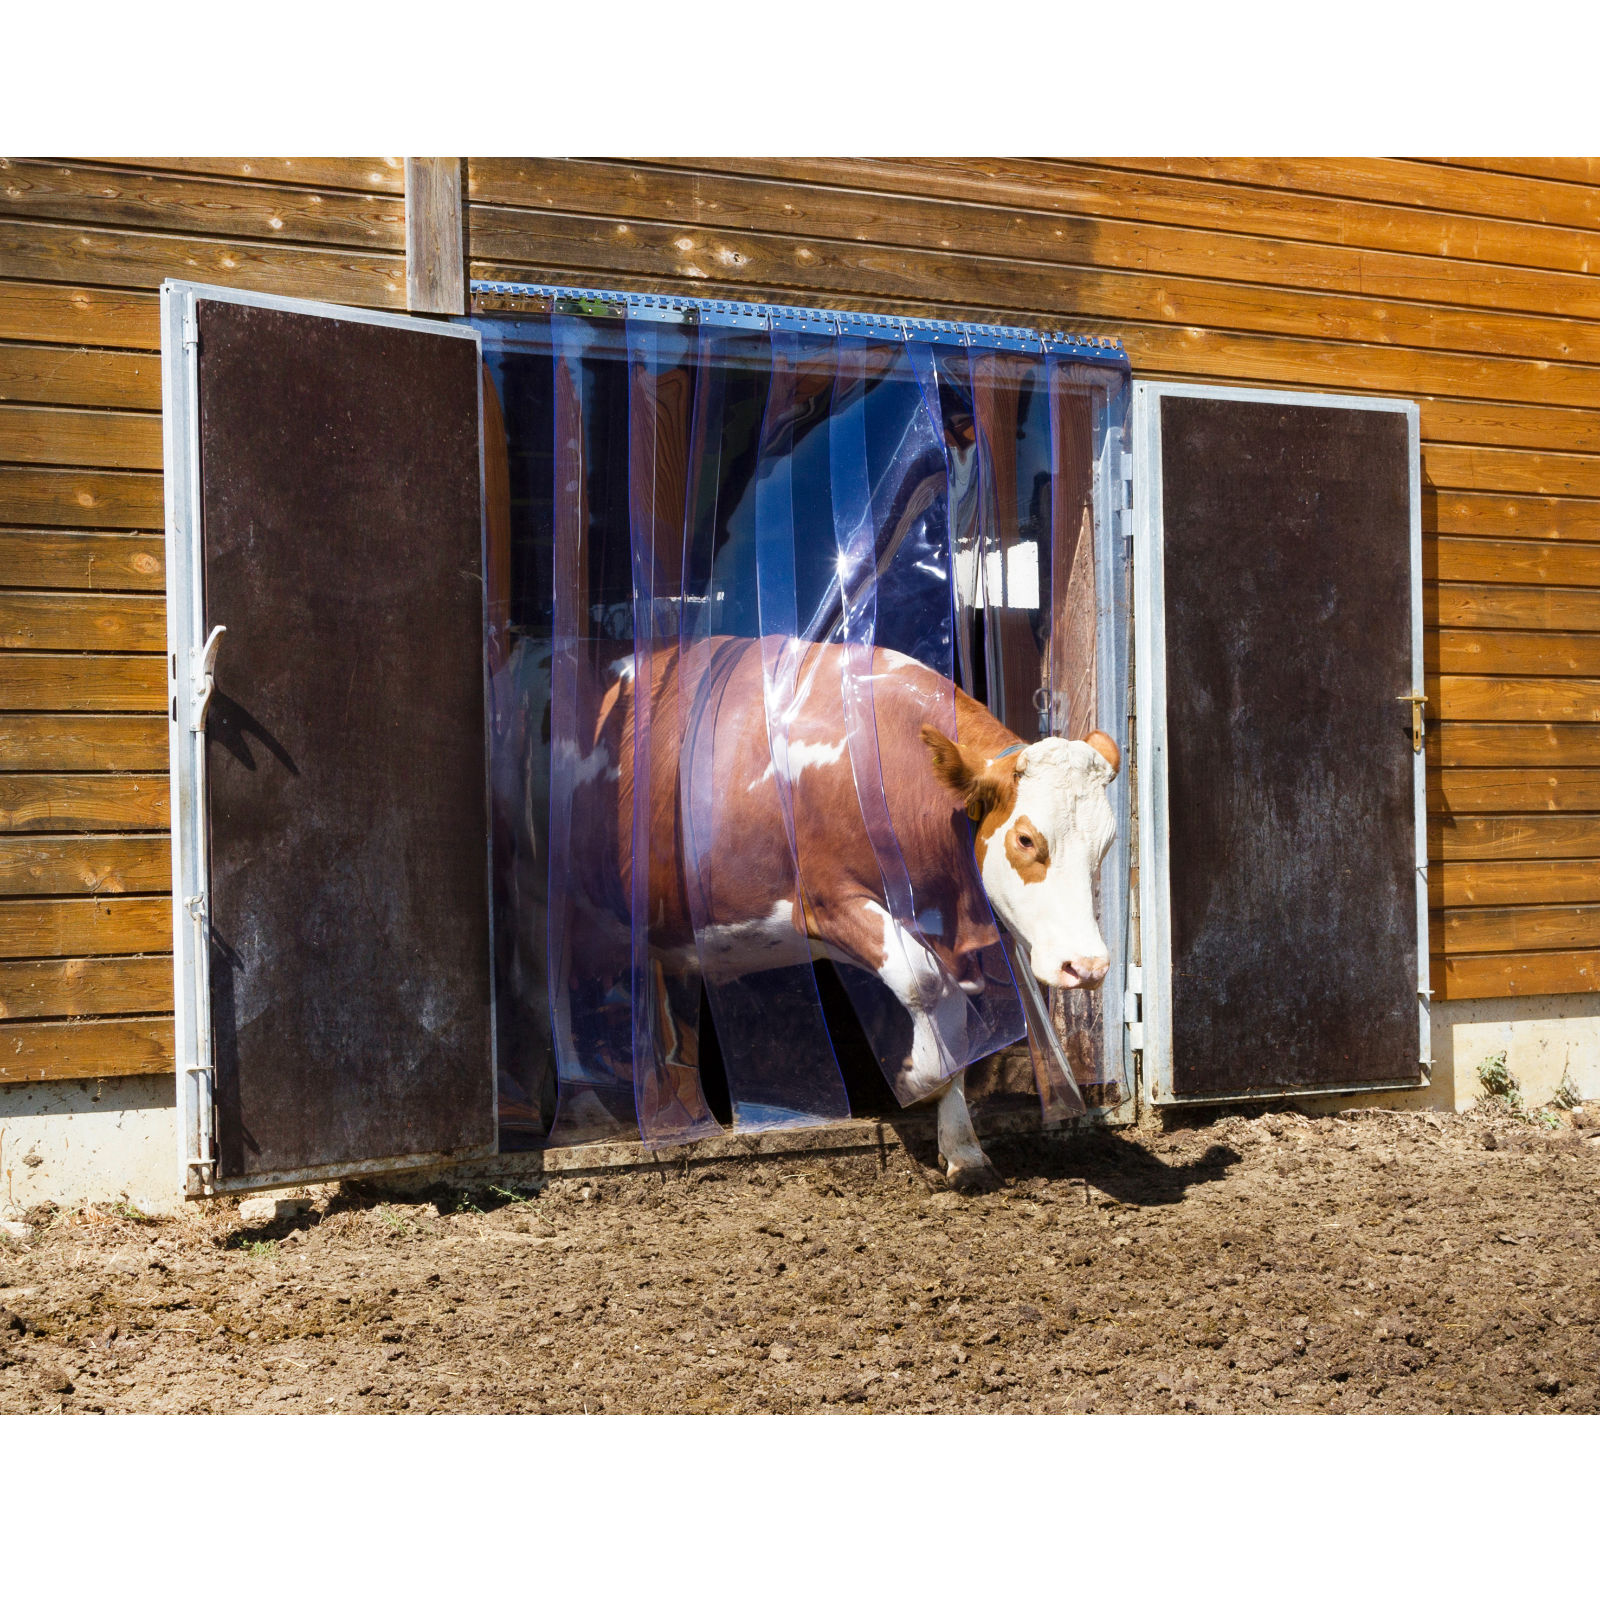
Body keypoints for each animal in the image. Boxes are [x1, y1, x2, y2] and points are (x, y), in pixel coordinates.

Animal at [577, 633, 1120, 1182]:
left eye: (1108, 843)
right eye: (1027, 838)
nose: (1088, 966)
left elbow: (955, 1015)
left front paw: (962, 1148)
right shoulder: (828, 903)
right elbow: (924, 983)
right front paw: (918, 1079)